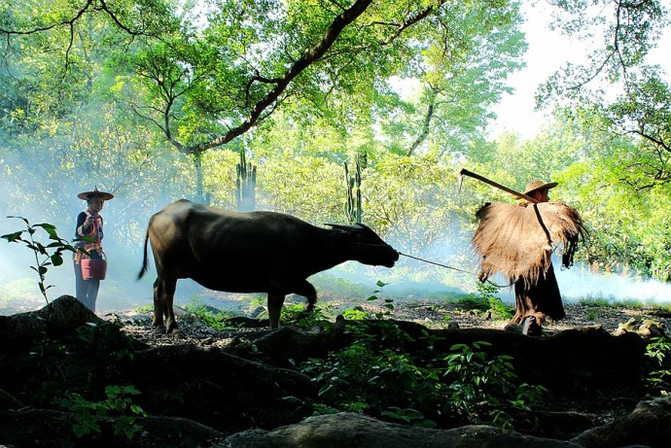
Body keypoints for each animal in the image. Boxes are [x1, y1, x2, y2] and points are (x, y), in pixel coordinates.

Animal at [137, 200, 400, 332]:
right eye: (369, 237)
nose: (394, 253)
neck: (309, 242)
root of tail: (158, 214)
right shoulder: (282, 281)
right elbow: (308, 296)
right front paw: (298, 318)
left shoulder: (278, 287)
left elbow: (279, 310)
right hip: (169, 267)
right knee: (167, 293)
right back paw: (172, 327)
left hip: (165, 269)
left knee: (156, 289)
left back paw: (157, 323)